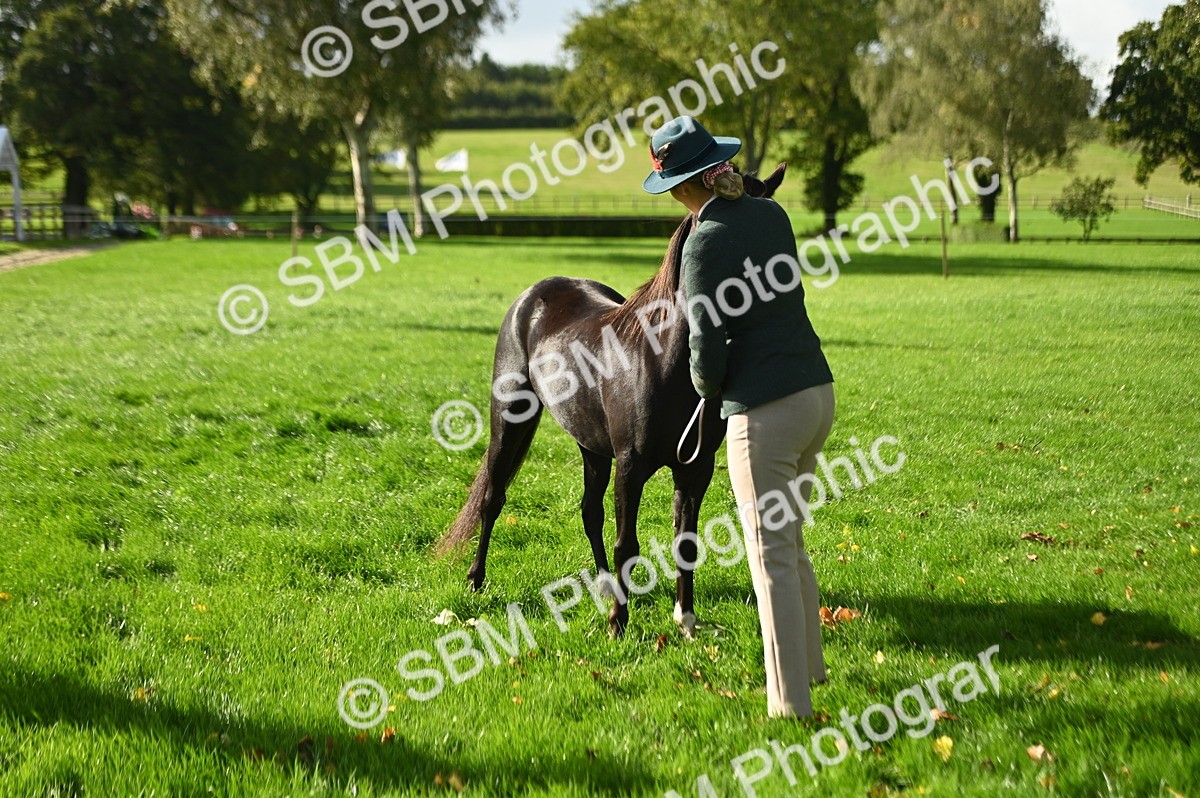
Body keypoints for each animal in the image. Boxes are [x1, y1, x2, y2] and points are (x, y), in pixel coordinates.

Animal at [437, 164, 788, 637]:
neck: (664, 362)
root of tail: (535, 295)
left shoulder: (695, 469)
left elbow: (686, 542)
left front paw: (686, 621)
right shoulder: (631, 466)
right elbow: (628, 544)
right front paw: (618, 625)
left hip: (591, 444)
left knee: (589, 510)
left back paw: (604, 587)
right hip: (509, 422)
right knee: (493, 499)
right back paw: (476, 581)